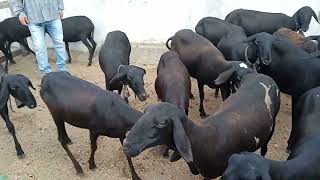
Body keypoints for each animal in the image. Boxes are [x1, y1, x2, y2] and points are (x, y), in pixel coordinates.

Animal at [122, 62, 280, 179]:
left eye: (162, 123)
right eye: (144, 111)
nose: (126, 145)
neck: (202, 139)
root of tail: (255, 75)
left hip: (271, 127)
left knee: (265, 148)